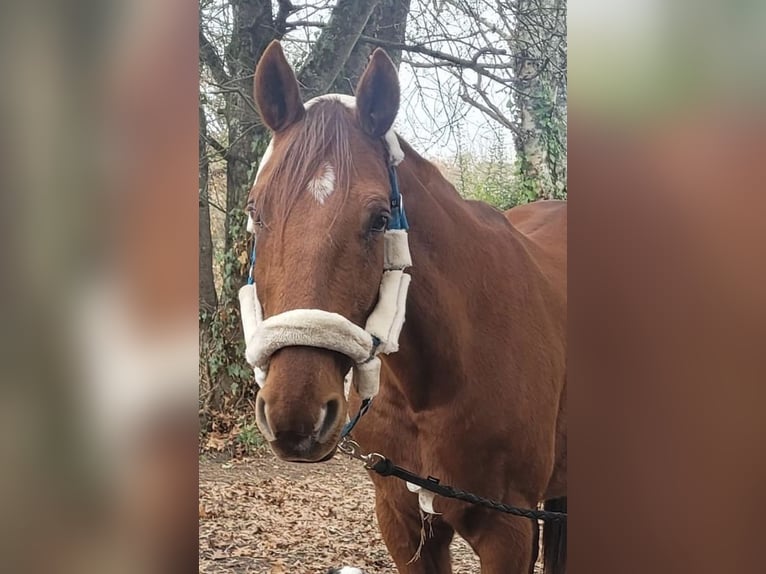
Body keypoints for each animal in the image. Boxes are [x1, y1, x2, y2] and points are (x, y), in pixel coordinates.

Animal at [246, 41, 568, 574]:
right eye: (256, 212)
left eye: (379, 219)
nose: (296, 415)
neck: (436, 383)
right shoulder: (403, 519)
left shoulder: (511, 531)